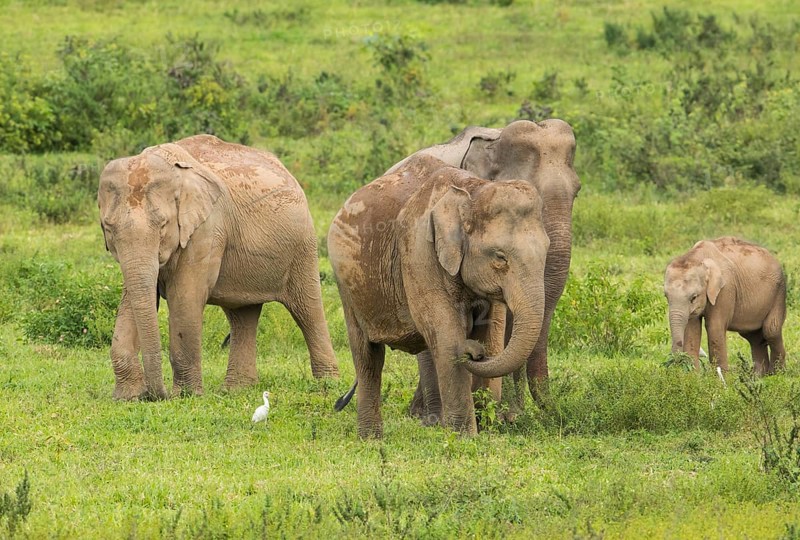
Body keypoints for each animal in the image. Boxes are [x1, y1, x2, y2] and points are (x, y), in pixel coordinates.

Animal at [97, 134, 339, 400]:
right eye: (108, 228)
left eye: (163, 226)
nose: (157, 395)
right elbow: (133, 298)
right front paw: (126, 398)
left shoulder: (207, 228)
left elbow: (185, 298)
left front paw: (187, 396)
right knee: (243, 315)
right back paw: (237, 390)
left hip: (303, 245)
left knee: (307, 309)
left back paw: (327, 384)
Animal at [328, 154, 550, 438]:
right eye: (500, 257)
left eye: (547, 251)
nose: (473, 353)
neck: (472, 190)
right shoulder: (418, 251)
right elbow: (447, 337)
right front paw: (465, 438)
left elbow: (491, 334)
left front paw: (486, 430)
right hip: (347, 287)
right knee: (368, 357)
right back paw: (371, 440)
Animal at [664, 236, 786, 375]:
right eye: (666, 296)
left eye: (693, 297)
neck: (698, 257)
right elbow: (692, 329)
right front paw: (693, 377)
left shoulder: (725, 289)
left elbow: (714, 327)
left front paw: (719, 379)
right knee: (753, 337)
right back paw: (758, 377)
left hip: (778, 293)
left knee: (771, 330)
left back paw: (776, 375)